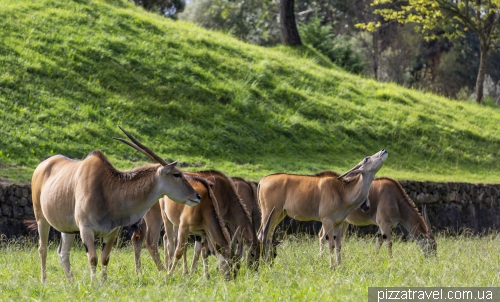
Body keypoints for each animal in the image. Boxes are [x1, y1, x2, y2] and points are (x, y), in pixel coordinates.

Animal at [28, 125, 200, 284]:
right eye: (177, 174)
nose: (197, 196)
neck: (107, 189)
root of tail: (41, 166)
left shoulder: (111, 232)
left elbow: (105, 258)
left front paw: (103, 283)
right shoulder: (86, 230)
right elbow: (93, 258)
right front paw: (93, 284)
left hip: (68, 230)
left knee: (63, 253)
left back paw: (72, 282)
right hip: (41, 219)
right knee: (43, 248)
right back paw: (44, 280)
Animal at [256, 150, 388, 268]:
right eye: (366, 158)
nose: (384, 150)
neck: (341, 191)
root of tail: (262, 181)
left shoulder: (339, 223)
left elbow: (339, 245)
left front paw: (340, 265)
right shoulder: (327, 220)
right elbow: (331, 244)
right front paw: (332, 266)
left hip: (279, 214)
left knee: (267, 236)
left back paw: (268, 262)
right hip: (269, 212)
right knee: (262, 235)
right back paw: (263, 262)